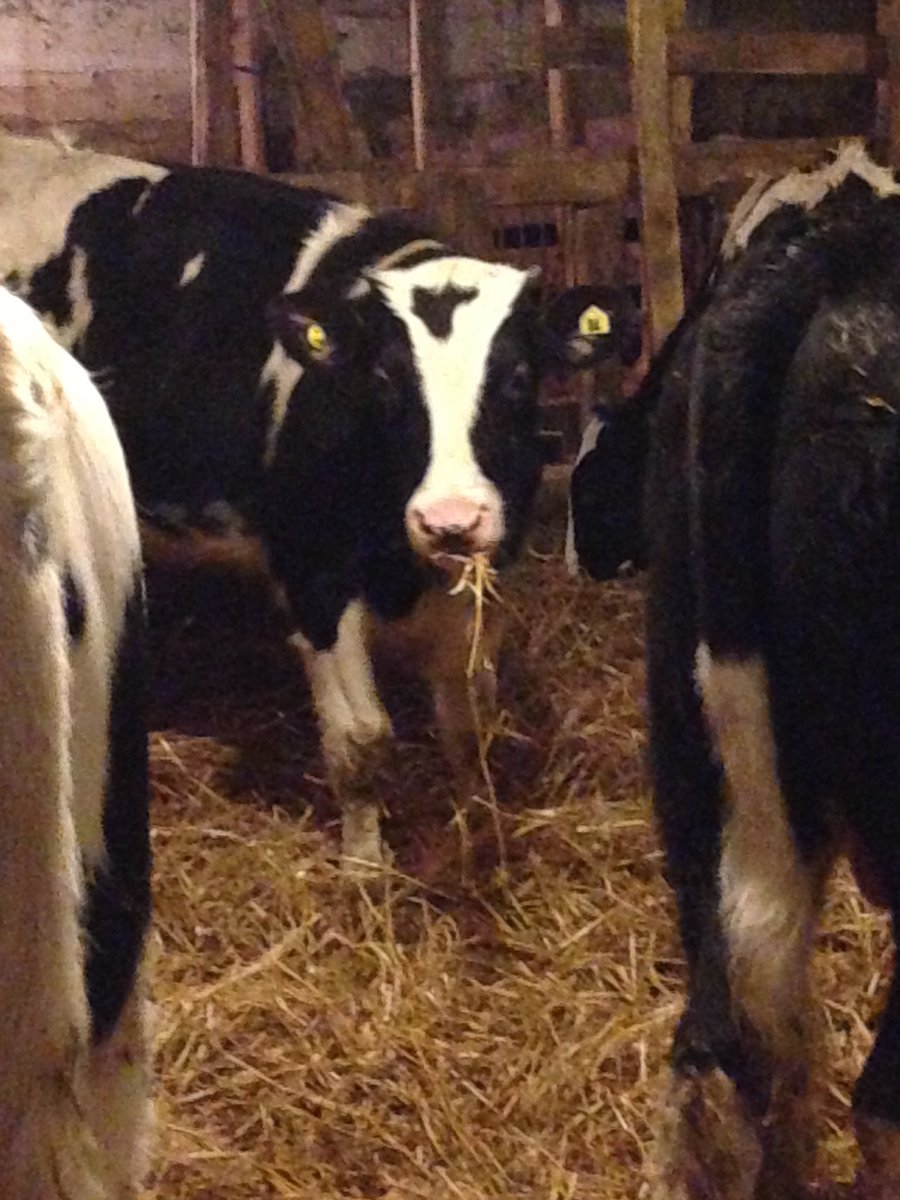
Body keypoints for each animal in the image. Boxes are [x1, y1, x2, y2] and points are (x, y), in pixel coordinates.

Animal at [0, 132, 634, 870]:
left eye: (519, 377)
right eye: (385, 379)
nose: (449, 518)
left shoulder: (484, 575)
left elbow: (469, 714)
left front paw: (479, 826)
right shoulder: (314, 578)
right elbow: (362, 740)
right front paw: (365, 864)